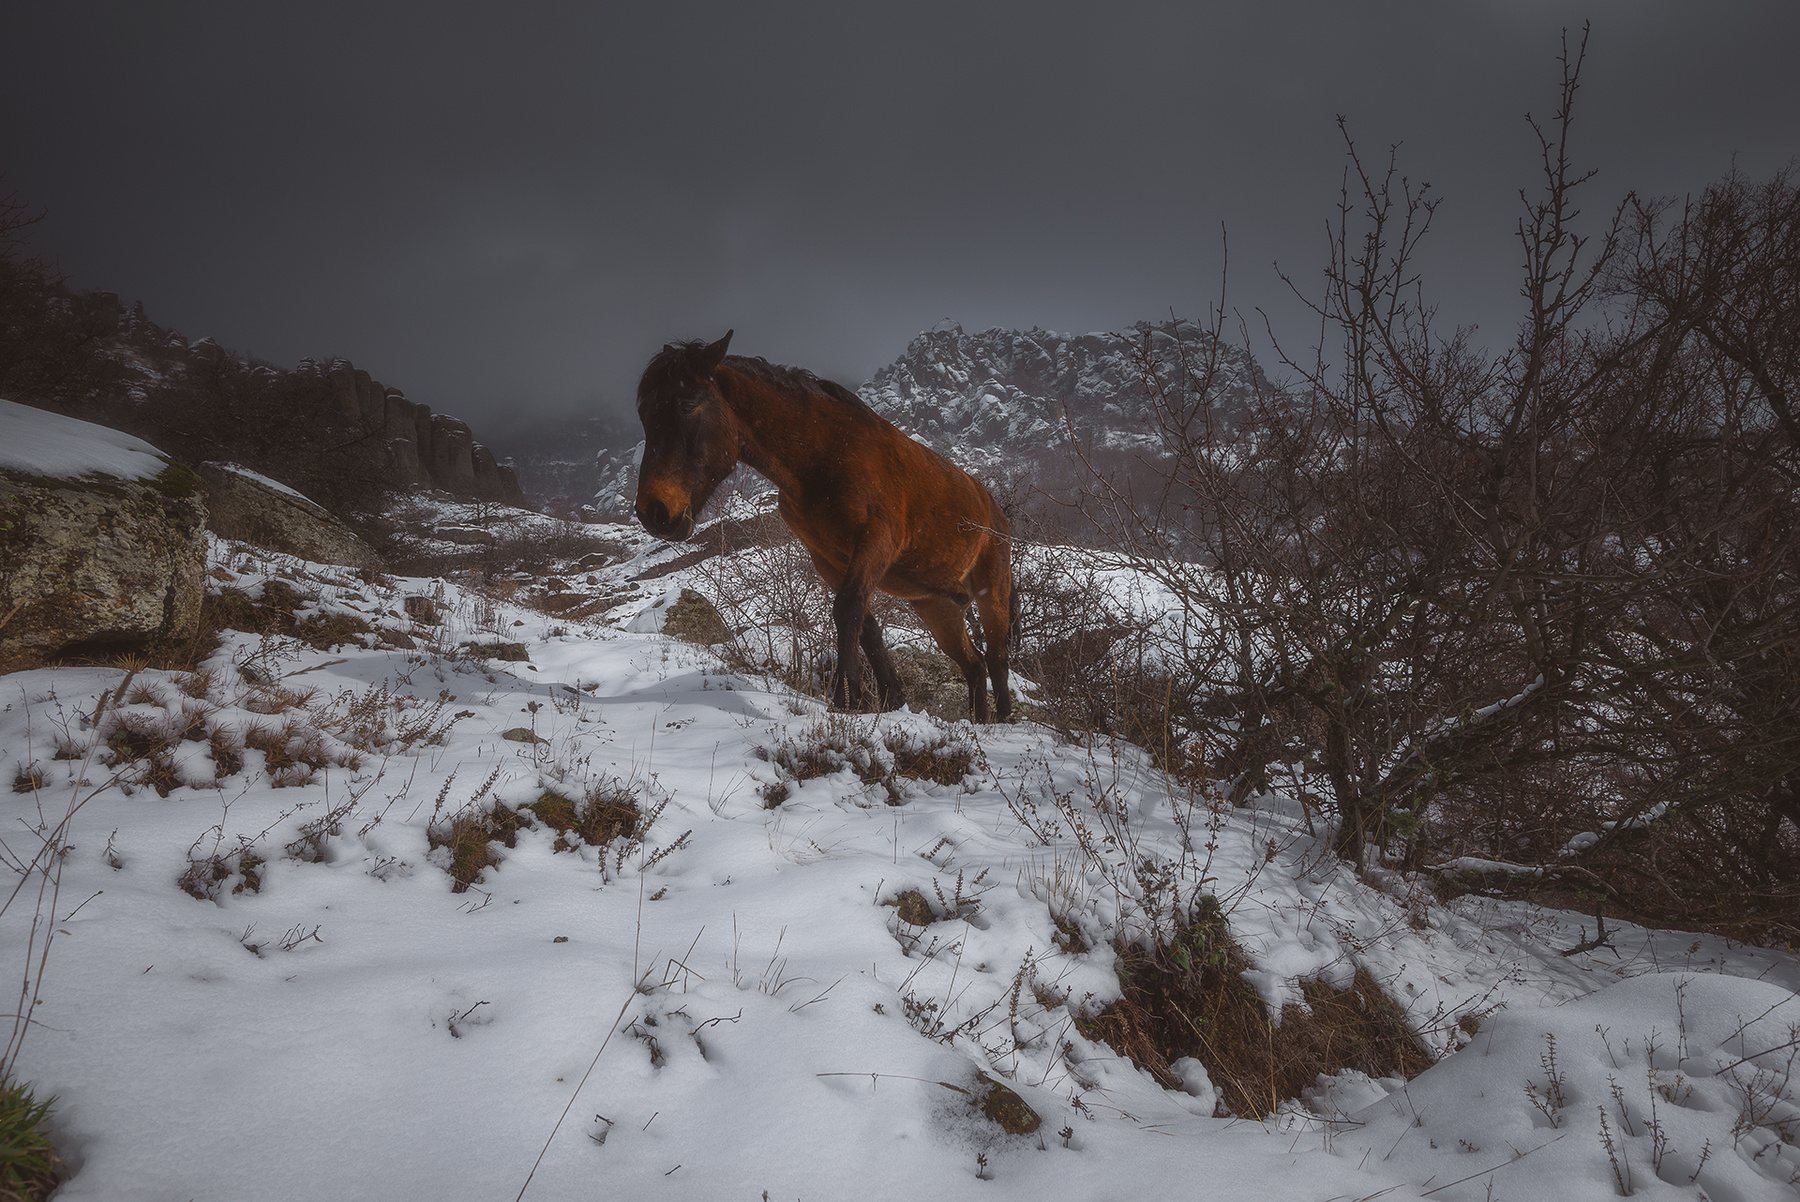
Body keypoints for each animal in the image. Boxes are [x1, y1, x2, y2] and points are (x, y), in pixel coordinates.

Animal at [633, 330, 1015, 723]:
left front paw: (847, 697)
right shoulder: (827, 558)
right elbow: (865, 623)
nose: (653, 513)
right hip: (938, 608)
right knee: (973, 664)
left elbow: (848, 608)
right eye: (644, 415)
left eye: (687, 405)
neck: (826, 454)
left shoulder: (876, 541)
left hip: (992, 590)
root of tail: (994, 509)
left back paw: (1002, 719)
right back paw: (979, 720)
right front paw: (887, 697)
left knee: (996, 657)